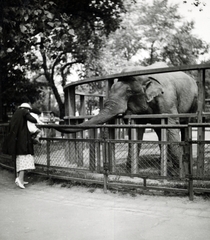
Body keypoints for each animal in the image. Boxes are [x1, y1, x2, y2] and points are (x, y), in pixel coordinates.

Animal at [56, 62, 198, 173]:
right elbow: (136, 131)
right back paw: (163, 161)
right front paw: (130, 171)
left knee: (184, 125)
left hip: (194, 101)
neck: (143, 73)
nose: (59, 121)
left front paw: (176, 173)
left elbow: (171, 125)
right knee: (159, 131)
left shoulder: (167, 99)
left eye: (129, 92)